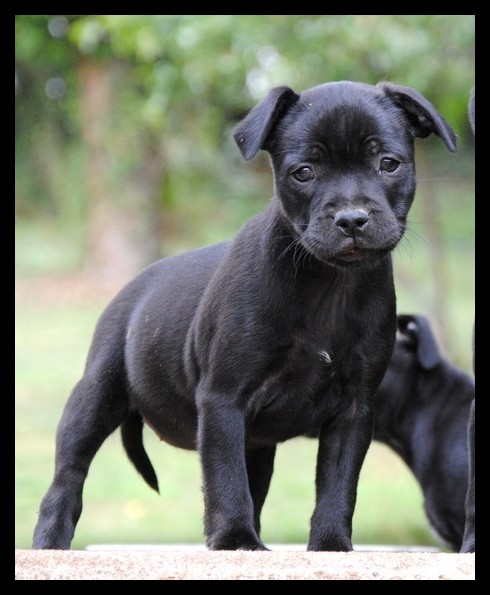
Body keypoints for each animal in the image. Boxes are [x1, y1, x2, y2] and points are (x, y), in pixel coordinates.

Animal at [32, 80, 456, 552]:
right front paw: (236, 541)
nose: (351, 219)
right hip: (95, 395)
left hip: (258, 444)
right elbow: (225, 479)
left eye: (388, 164)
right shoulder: (224, 399)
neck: (328, 282)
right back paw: (49, 542)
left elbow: (338, 482)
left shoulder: (353, 409)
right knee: (68, 475)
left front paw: (331, 546)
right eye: (303, 172)